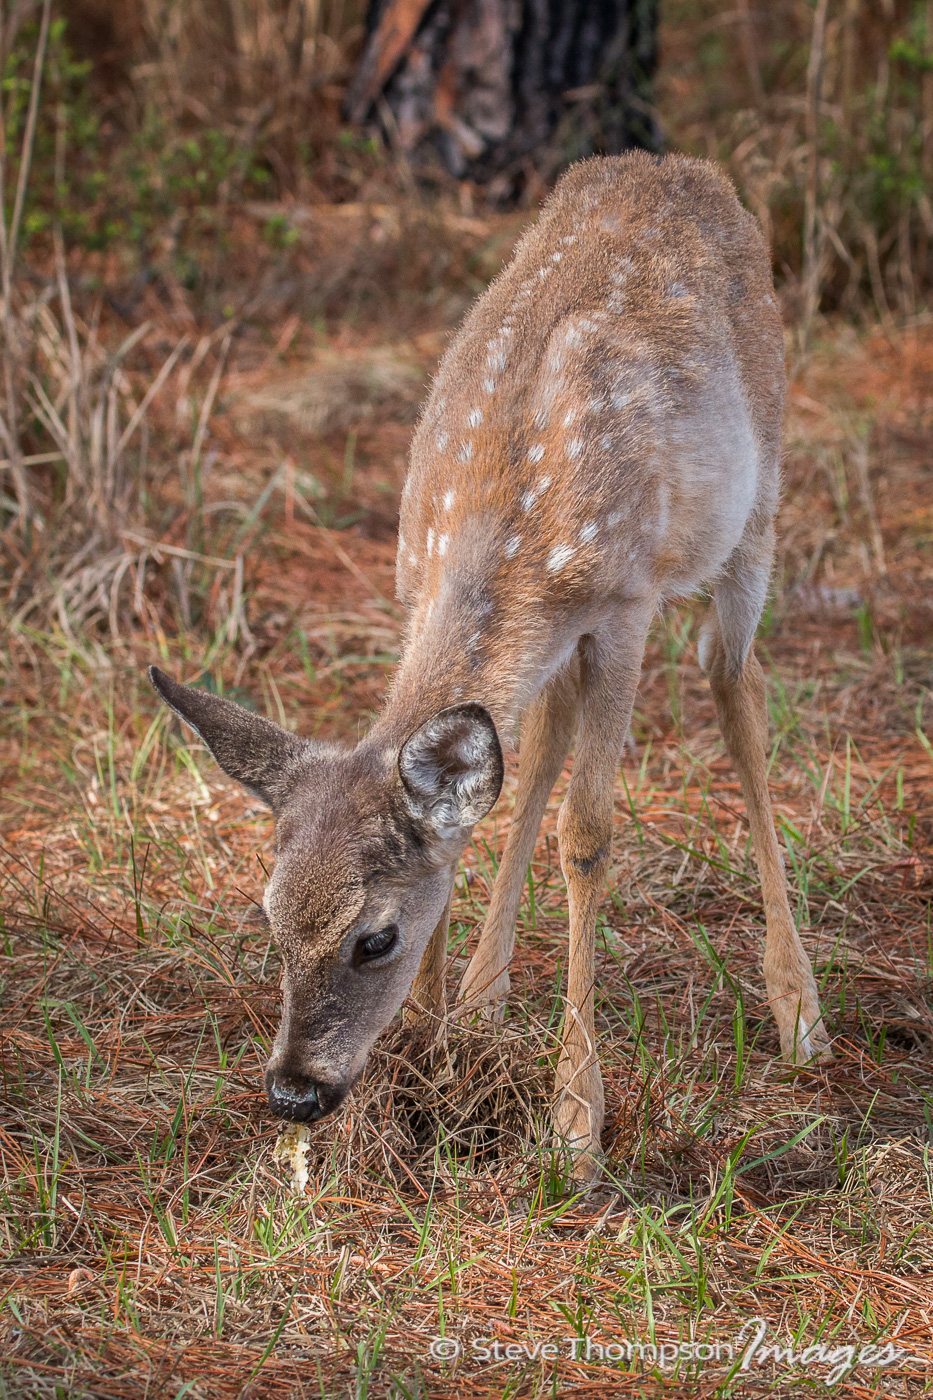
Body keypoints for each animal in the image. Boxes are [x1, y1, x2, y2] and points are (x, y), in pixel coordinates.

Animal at [149, 151, 832, 1181]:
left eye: (374, 938)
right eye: (267, 917)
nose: (294, 1093)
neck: (498, 539)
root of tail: (678, 166)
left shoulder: (623, 605)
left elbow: (587, 834)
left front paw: (575, 1119)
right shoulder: (416, 582)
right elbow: (473, 815)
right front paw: (429, 1051)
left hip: (758, 499)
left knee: (735, 686)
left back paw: (798, 1010)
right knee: (539, 742)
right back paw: (483, 996)